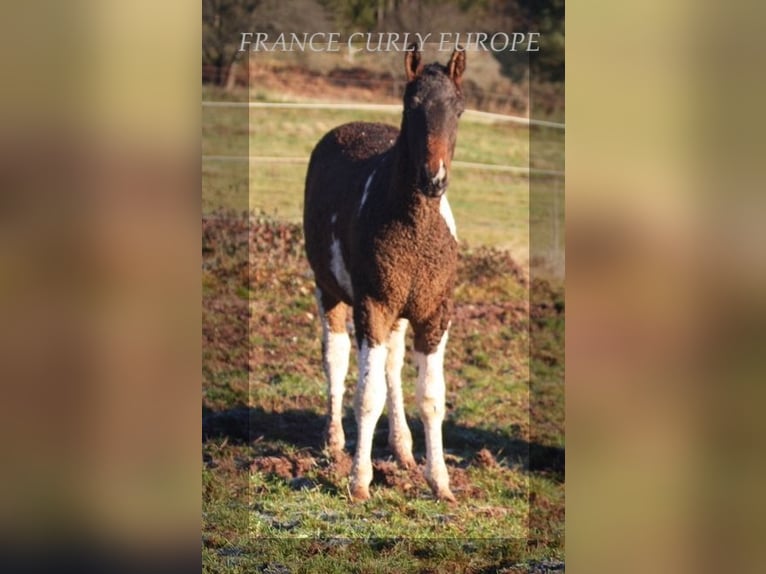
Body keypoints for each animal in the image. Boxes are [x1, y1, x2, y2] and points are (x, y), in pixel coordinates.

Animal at [306, 46, 468, 504]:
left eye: (459, 109)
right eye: (411, 106)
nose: (434, 179)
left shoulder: (434, 314)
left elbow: (430, 396)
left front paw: (440, 483)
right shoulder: (373, 307)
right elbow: (367, 395)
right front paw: (359, 482)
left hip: (398, 314)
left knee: (393, 366)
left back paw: (403, 449)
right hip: (329, 290)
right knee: (336, 357)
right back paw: (335, 444)